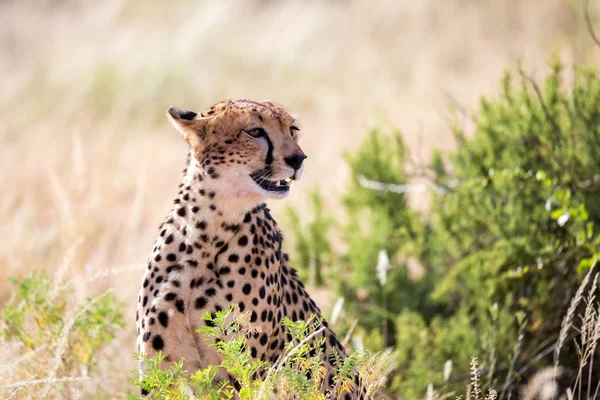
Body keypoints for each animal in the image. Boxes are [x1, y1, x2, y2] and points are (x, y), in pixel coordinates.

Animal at [137, 99, 366, 396]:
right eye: (255, 131)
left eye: (292, 129)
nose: (298, 159)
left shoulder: (251, 373)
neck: (205, 234)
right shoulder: (157, 373)